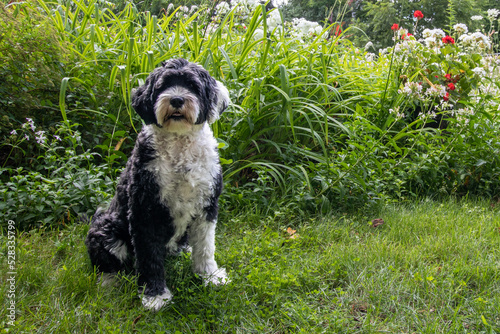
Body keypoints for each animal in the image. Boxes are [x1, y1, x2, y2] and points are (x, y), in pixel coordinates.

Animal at [85, 57, 232, 310]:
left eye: (192, 86)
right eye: (163, 86)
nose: (177, 99)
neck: (180, 146)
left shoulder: (207, 205)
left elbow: (205, 247)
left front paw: (210, 276)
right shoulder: (145, 211)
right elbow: (149, 257)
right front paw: (154, 295)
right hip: (106, 229)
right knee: (108, 263)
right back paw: (109, 283)